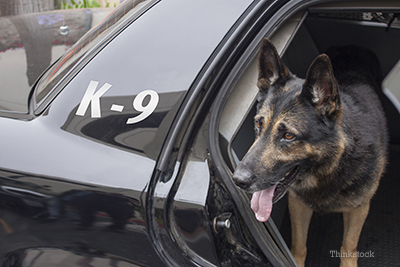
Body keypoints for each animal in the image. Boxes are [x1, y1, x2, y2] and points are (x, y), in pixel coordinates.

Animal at [231, 38, 388, 267]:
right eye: (258, 124)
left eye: (288, 136)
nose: (237, 180)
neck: (331, 166)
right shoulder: (298, 204)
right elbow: (299, 246)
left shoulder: (359, 208)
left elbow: (348, 247)